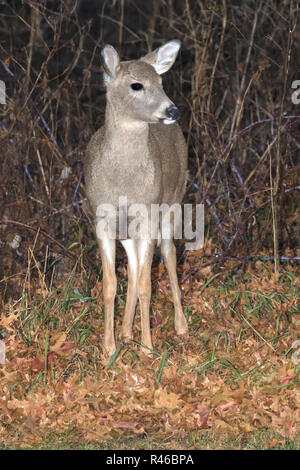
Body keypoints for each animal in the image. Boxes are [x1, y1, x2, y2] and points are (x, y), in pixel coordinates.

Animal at [84, 40, 188, 356]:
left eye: (161, 82)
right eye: (136, 85)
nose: (173, 110)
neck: (124, 184)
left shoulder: (148, 214)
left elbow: (146, 284)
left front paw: (148, 348)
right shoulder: (102, 219)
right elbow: (110, 283)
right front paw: (109, 348)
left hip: (173, 202)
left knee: (169, 253)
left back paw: (180, 326)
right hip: (128, 229)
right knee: (131, 266)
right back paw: (126, 332)